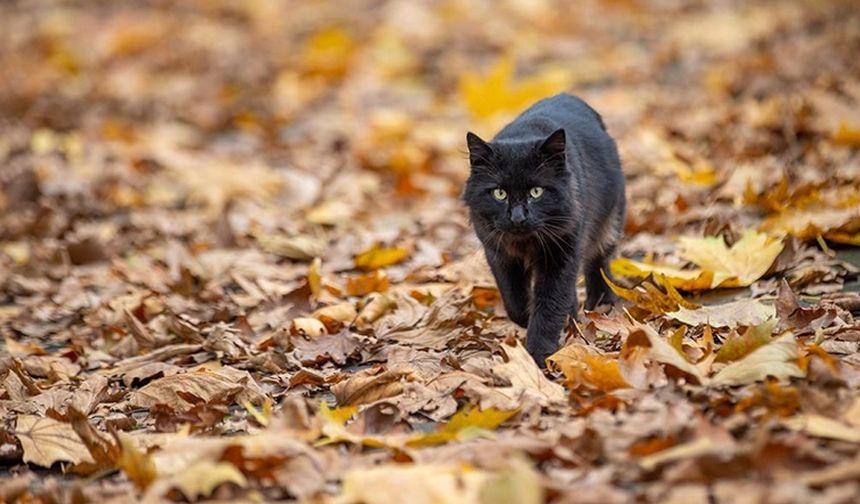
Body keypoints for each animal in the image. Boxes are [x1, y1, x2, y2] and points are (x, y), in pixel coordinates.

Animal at [464, 92, 624, 364]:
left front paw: (539, 354)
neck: (525, 243)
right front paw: (528, 321)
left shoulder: (560, 256)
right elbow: (515, 303)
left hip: (607, 226)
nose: (518, 217)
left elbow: (549, 305)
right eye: (499, 193)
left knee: (599, 265)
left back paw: (599, 304)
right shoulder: (500, 255)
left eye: (536, 192)